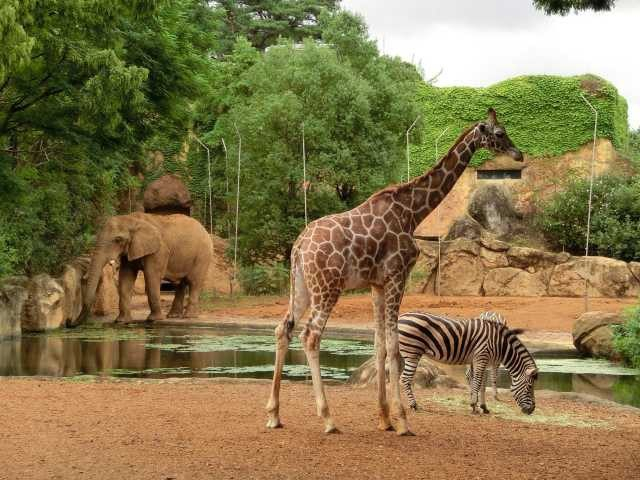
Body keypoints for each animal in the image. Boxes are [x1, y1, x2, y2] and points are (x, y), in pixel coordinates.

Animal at [81, 213, 212, 322]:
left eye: (118, 240)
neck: (132, 219)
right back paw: (173, 316)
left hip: (203, 255)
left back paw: (189, 316)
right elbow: (126, 279)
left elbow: (151, 277)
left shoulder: (159, 250)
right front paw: (121, 321)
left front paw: (154, 320)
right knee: (181, 283)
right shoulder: (131, 249)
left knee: (194, 282)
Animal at [264, 108, 520, 436]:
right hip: (327, 287)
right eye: (500, 133)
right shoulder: (399, 274)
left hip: (301, 286)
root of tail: (298, 247)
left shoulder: (377, 283)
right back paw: (328, 418)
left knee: (283, 328)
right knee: (311, 335)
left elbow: (380, 347)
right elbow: (396, 350)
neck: (413, 212)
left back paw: (274, 414)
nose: (517, 154)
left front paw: (384, 417)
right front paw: (402, 420)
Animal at [398, 314, 536, 414]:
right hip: (412, 352)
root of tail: (401, 317)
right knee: (405, 379)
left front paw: (483, 407)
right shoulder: (481, 357)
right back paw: (414, 405)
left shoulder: (481, 360)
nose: (532, 410)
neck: (499, 343)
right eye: (529, 387)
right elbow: (477, 382)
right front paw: (474, 405)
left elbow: (481, 384)